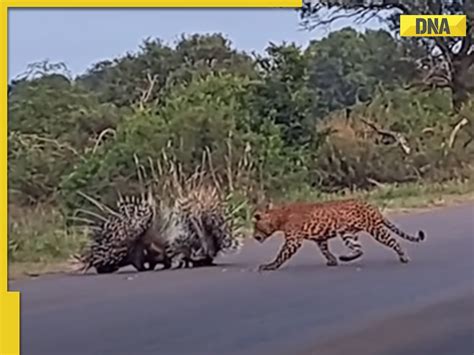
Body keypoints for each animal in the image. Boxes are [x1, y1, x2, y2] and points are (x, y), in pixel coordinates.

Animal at [252, 199, 426, 272]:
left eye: (255, 226)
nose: (254, 236)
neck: (278, 217)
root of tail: (372, 205)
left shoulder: (293, 241)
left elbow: (281, 256)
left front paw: (269, 266)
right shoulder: (320, 238)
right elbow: (325, 250)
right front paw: (333, 260)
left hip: (374, 229)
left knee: (393, 241)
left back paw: (404, 257)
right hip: (347, 233)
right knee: (358, 249)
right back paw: (345, 258)